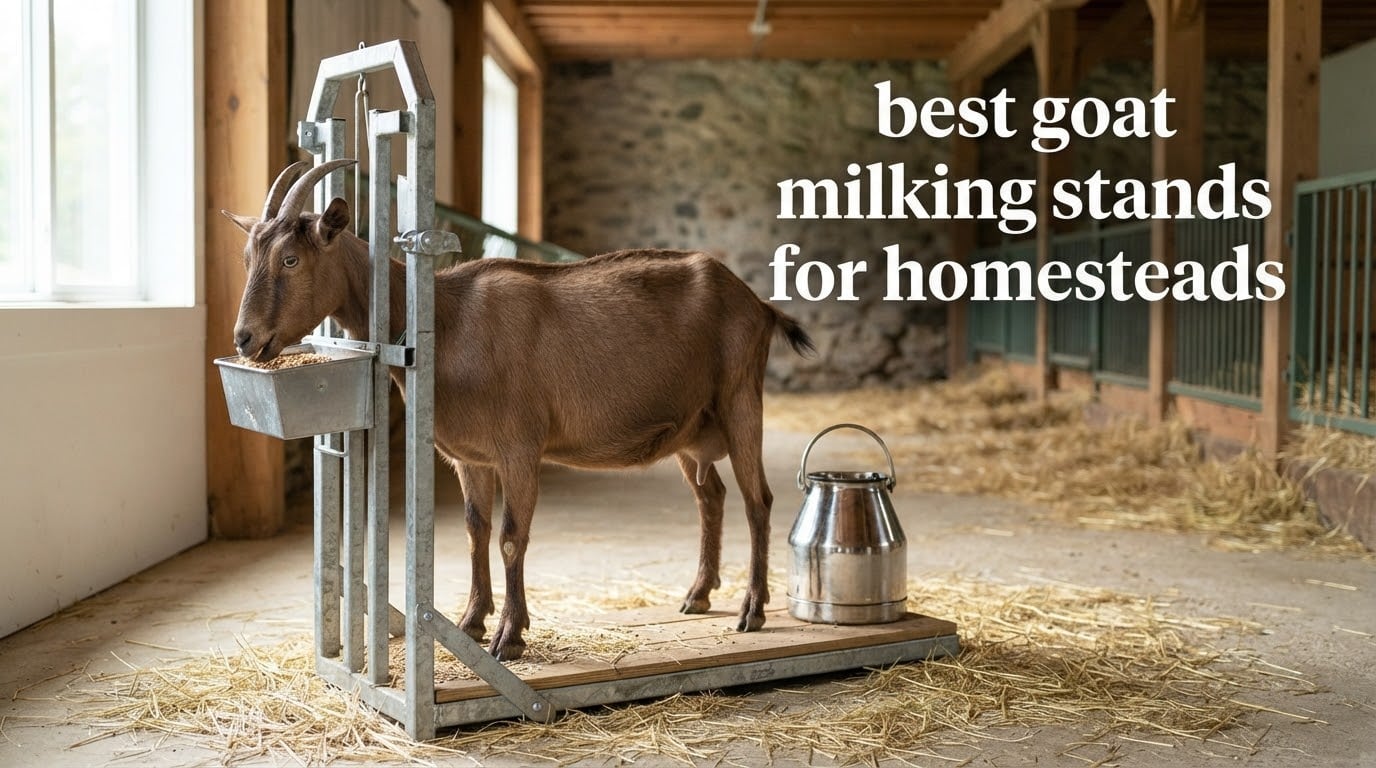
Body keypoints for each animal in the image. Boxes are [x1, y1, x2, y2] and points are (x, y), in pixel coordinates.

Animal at [223, 159, 815, 660]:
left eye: (291, 258)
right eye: (248, 257)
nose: (245, 338)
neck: (446, 321)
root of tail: (758, 304)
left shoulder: (520, 449)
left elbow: (511, 537)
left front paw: (509, 636)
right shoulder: (469, 456)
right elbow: (475, 529)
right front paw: (470, 621)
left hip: (740, 403)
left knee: (757, 500)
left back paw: (752, 610)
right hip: (691, 430)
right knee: (710, 497)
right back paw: (698, 594)